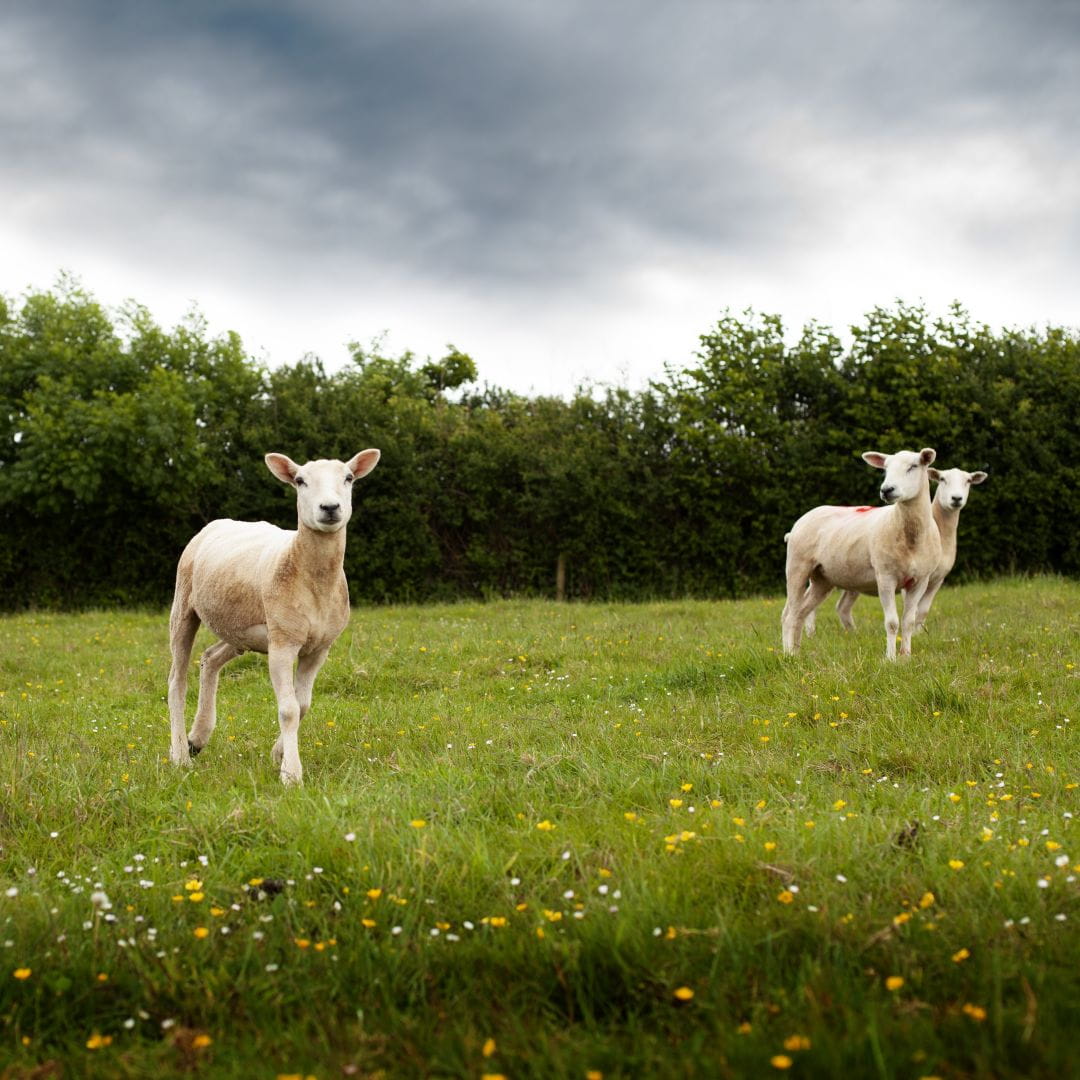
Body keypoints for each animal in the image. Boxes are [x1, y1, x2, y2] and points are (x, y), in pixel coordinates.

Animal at [167, 450, 381, 784]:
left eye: (348, 478)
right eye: (300, 480)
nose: (330, 508)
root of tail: (216, 523)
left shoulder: (319, 649)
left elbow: (302, 705)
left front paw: (278, 754)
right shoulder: (282, 643)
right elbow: (289, 709)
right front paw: (291, 774)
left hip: (241, 630)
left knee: (210, 658)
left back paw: (197, 739)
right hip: (184, 602)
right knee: (176, 681)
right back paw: (179, 755)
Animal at [781, 448, 942, 660]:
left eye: (913, 466)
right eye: (885, 468)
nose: (887, 490)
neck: (909, 536)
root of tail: (800, 521)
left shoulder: (920, 581)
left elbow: (908, 621)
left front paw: (906, 656)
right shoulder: (885, 577)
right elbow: (892, 623)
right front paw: (891, 659)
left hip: (822, 579)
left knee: (800, 612)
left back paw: (797, 652)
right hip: (797, 566)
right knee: (789, 615)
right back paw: (788, 654)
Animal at [805, 465, 987, 636]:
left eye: (968, 481)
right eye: (942, 479)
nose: (956, 498)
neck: (941, 531)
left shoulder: (937, 579)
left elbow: (923, 611)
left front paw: (919, 634)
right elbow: (912, 610)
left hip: (848, 577)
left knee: (841, 607)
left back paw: (852, 633)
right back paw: (811, 633)